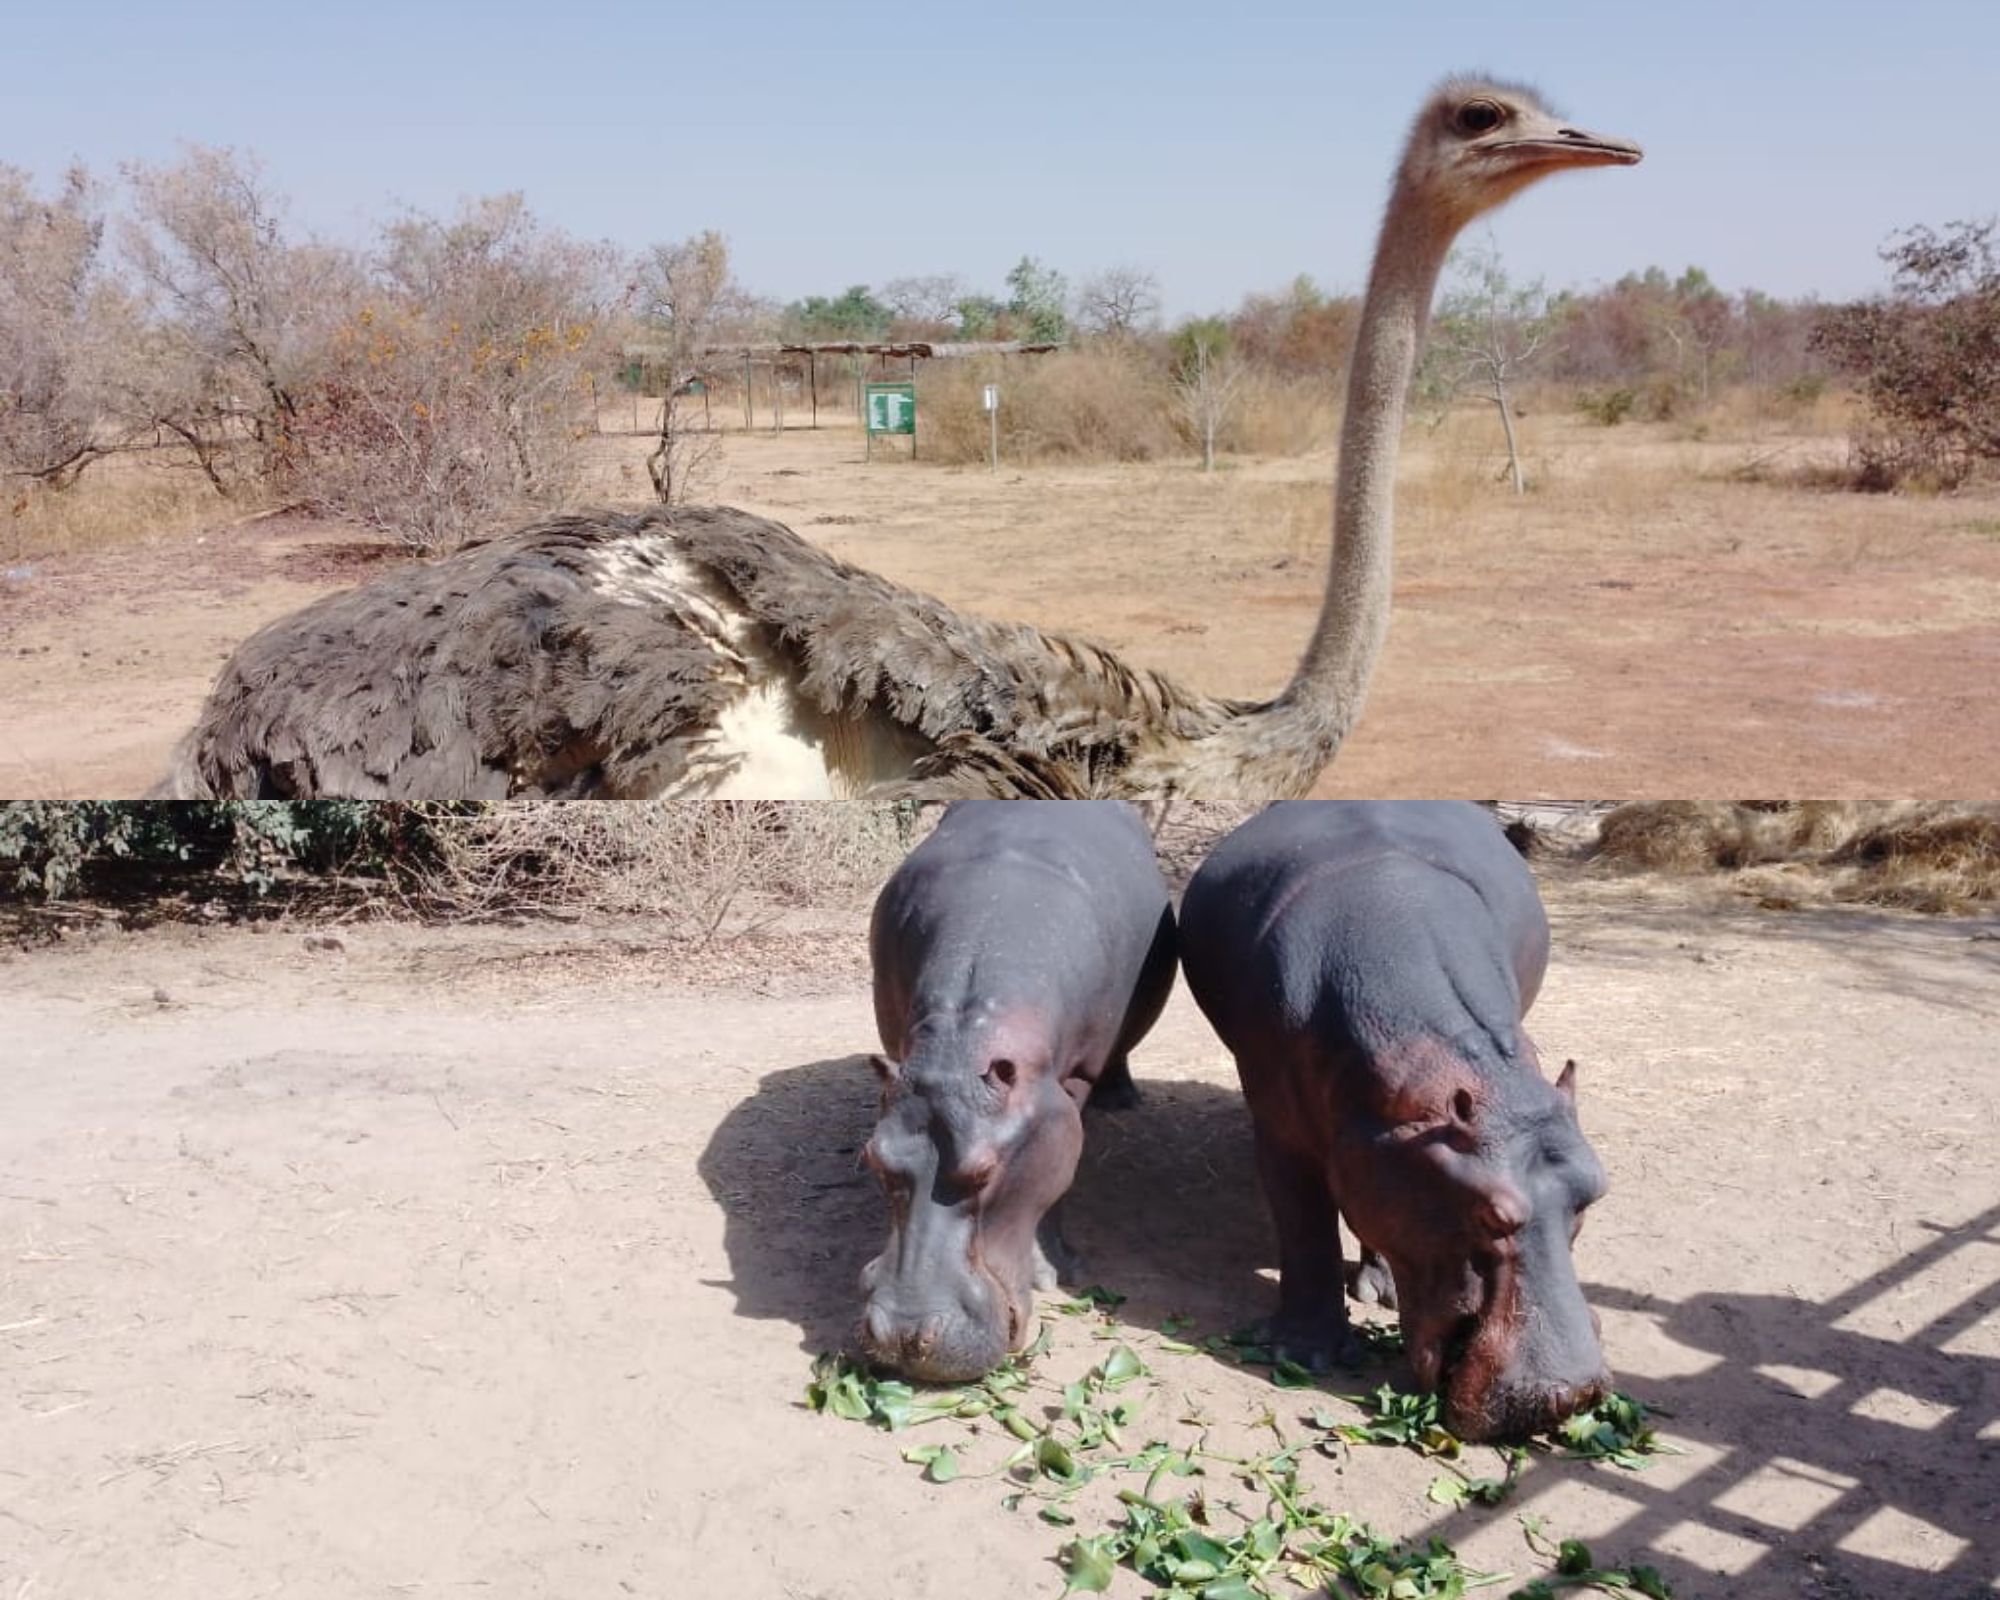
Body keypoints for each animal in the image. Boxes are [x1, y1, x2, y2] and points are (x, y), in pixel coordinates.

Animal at [856, 808, 1168, 1384]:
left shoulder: (1065, 1094)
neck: (962, 1039)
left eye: (985, 1173)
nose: (903, 1337)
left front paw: (1052, 1272)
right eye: (873, 1158)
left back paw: (1123, 1097)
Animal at [1184, 800, 1608, 1440]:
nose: (1571, 1394)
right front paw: (1303, 1354)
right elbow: (1303, 1226)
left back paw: (1380, 1290)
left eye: (1594, 1190)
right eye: (1491, 1214)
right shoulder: (1281, 1129)